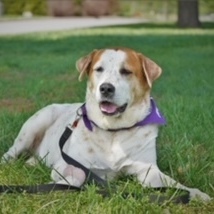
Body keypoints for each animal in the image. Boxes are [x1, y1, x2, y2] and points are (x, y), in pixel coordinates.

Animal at [0, 47, 210, 201]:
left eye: (126, 71)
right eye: (98, 69)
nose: (106, 88)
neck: (113, 131)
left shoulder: (148, 171)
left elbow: (175, 184)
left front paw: (196, 193)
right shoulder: (68, 164)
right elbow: (75, 176)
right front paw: (64, 183)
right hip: (35, 124)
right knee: (10, 153)